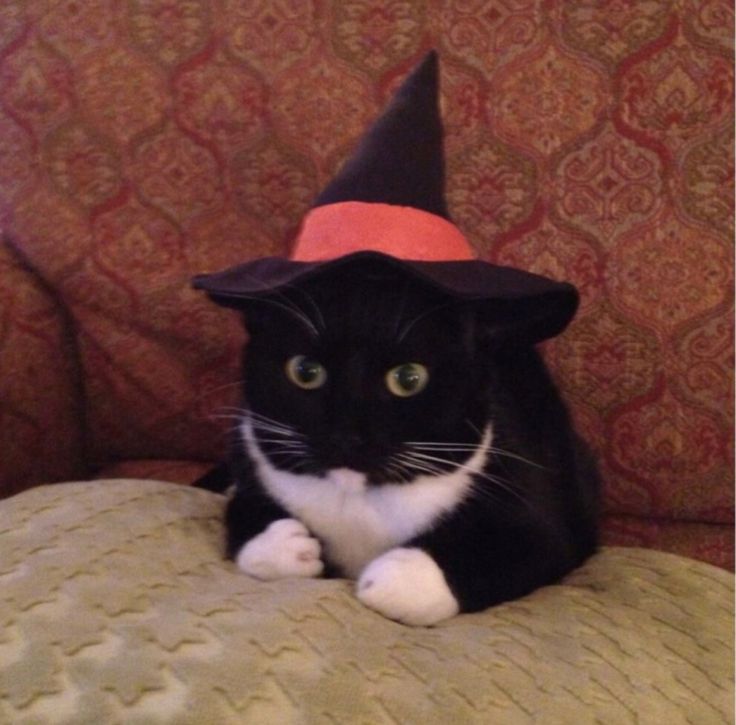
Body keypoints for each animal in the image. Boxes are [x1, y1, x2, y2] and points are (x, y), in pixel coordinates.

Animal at [196, 256, 600, 628]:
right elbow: (243, 508)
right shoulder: (250, 458)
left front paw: (402, 579)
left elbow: (510, 549)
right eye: (305, 371)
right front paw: (284, 544)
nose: (348, 435)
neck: (357, 502)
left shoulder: (533, 493)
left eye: (408, 378)